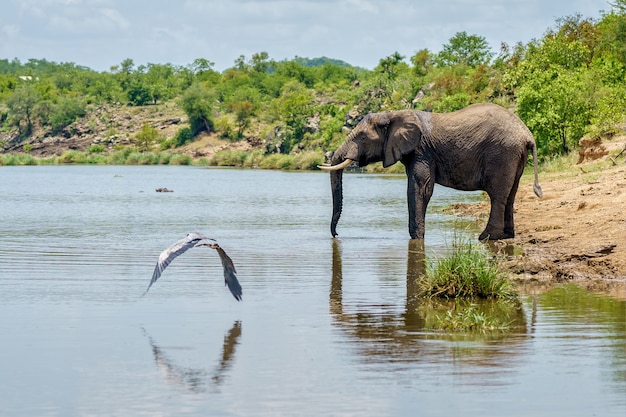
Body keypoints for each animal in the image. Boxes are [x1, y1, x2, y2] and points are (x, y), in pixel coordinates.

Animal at [320, 102, 540, 240]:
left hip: (502, 154)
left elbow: (420, 188)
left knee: (497, 195)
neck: (394, 114)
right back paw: (507, 236)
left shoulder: (422, 151)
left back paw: (486, 238)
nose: (337, 235)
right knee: (511, 194)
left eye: (363, 138)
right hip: (514, 156)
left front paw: (417, 238)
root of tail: (527, 135)